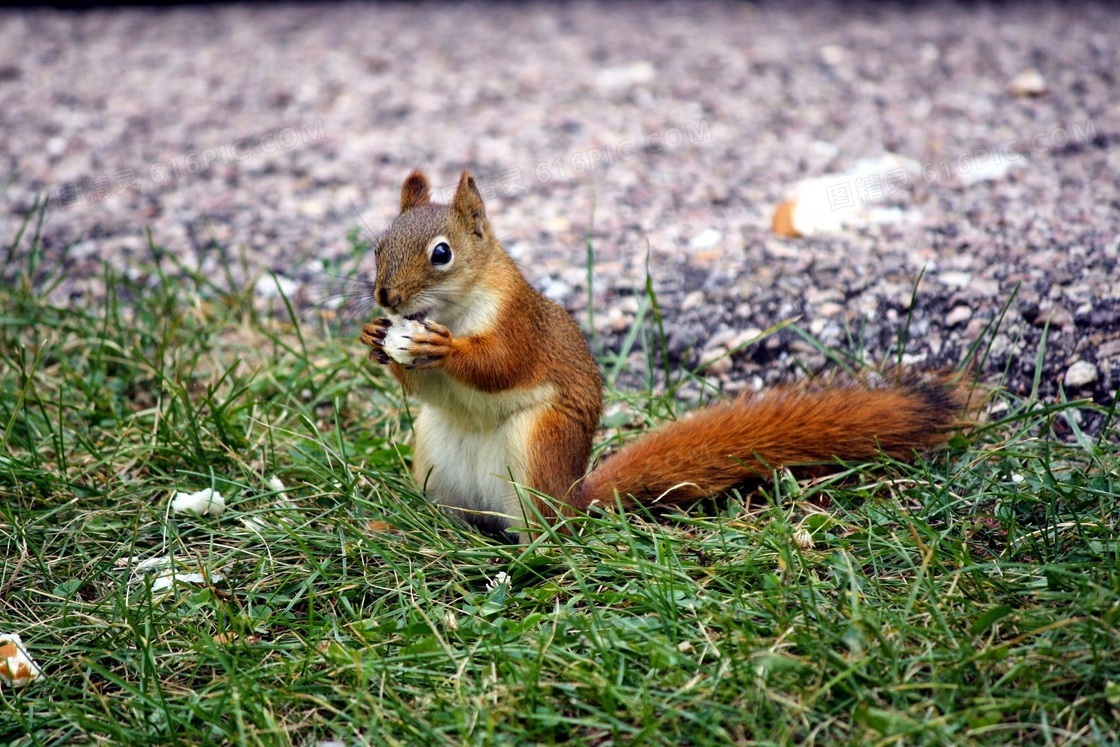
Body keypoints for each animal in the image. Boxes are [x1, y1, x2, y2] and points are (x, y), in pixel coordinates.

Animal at [356, 171, 963, 544]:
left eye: (442, 253)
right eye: (378, 245)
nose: (386, 297)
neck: (454, 309)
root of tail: (575, 496)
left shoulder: (518, 324)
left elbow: (499, 364)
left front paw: (441, 348)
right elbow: (421, 385)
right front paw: (374, 338)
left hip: (535, 448)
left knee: (553, 534)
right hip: (434, 459)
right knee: (455, 518)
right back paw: (418, 534)